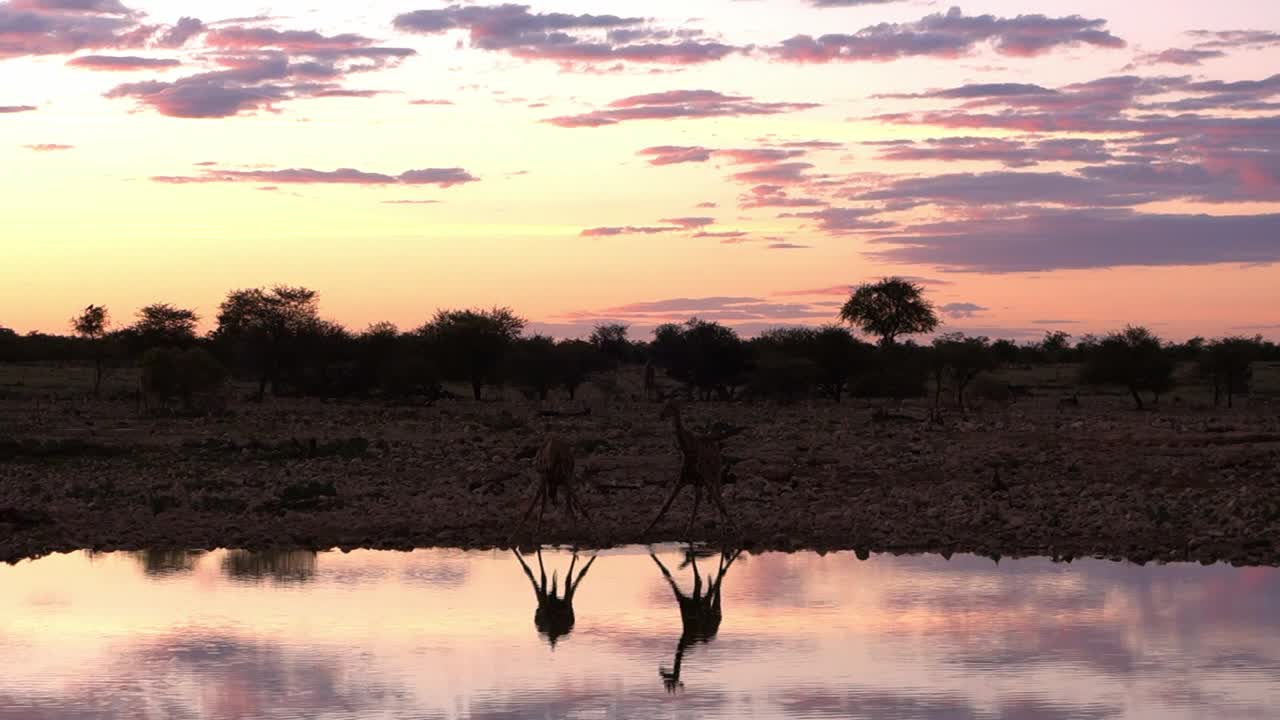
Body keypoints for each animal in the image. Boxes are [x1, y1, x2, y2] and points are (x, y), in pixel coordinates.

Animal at [643, 400, 737, 537]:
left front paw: (736, 529)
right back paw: (689, 529)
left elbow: (719, 503)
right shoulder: (683, 479)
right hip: (700, 482)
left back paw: (722, 528)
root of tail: (715, 446)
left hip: (715, 474)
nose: (661, 416)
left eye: (670, 407)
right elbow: (666, 505)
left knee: (718, 496)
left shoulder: (702, 478)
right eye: (665, 405)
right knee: (700, 498)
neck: (688, 452)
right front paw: (646, 529)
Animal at [650, 546, 742, 692]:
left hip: (711, 610)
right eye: (666, 681)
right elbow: (668, 572)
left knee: (717, 583)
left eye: (669, 680)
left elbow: (699, 578)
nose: (662, 671)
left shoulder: (699, 599)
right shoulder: (698, 599)